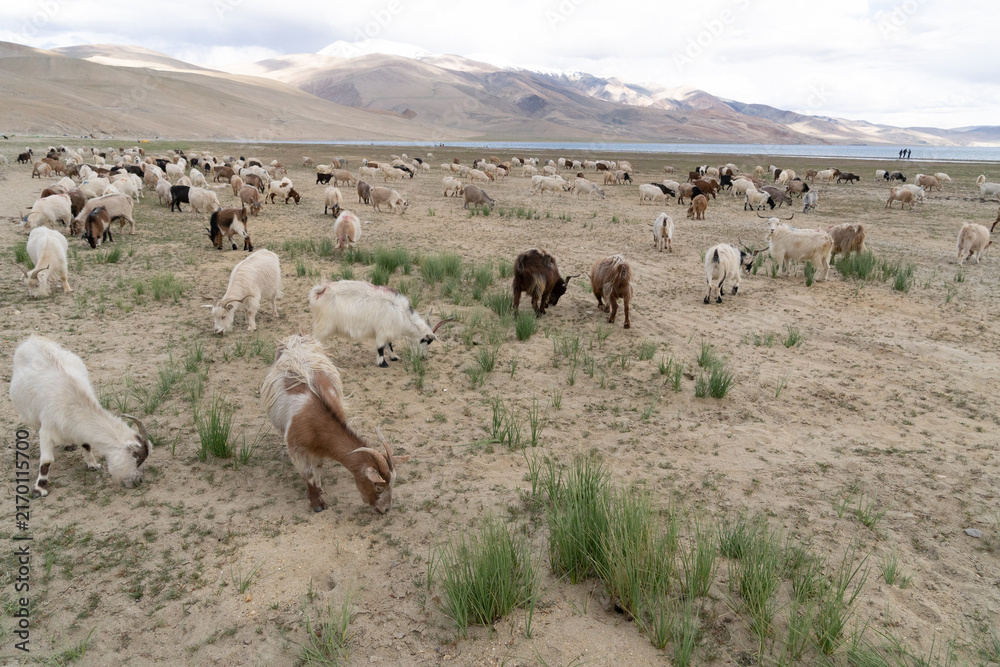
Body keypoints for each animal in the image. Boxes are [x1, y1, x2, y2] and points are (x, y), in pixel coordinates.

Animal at [10, 335, 150, 496]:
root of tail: (33, 338)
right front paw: (39, 489)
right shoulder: (47, 431)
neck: (71, 402)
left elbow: (86, 443)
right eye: (137, 458)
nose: (139, 481)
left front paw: (93, 464)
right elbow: (46, 461)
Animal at [260, 334, 403, 513]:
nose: (385, 510)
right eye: (378, 487)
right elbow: (309, 474)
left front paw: (320, 488)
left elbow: (318, 466)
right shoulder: (297, 448)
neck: (315, 420)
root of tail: (296, 338)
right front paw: (317, 503)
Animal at [310, 281, 454, 368]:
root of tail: (321, 291)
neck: (402, 314)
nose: (422, 357)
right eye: (426, 341)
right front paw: (383, 363)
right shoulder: (383, 331)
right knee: (315, 341)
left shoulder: (388, 331)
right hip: (324, 326)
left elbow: (389, 345)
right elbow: (381, 347)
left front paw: (394, 357)